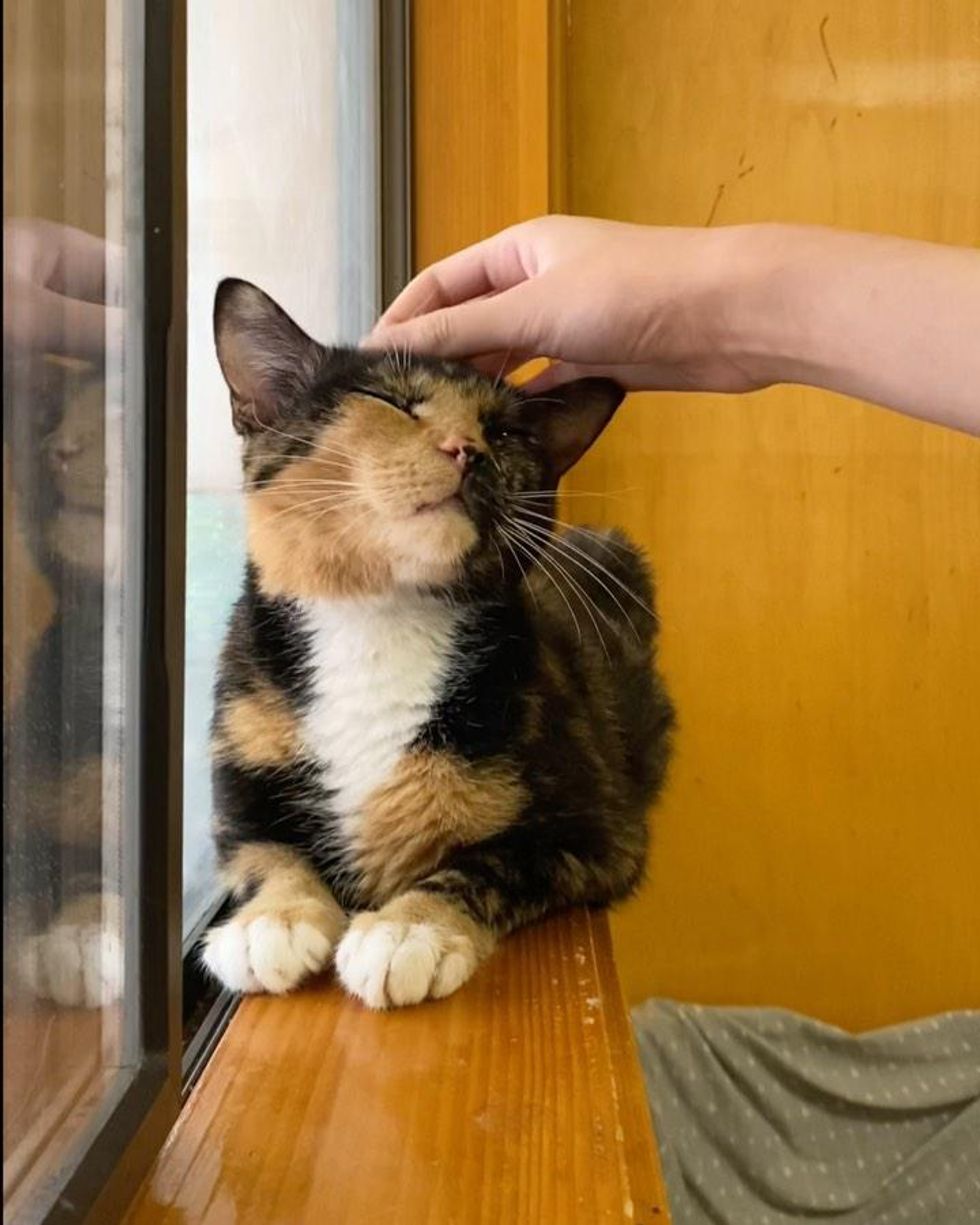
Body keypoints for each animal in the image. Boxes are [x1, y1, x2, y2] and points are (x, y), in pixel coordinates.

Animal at [198, 281, 676, 1009]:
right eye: (390, 399)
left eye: (505, 431)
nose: (467, 449)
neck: (380, 618)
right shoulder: (241, 752)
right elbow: (261, 852)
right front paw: (271, 921)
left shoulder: (599, 829)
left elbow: (488, 862)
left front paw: (409, 930)